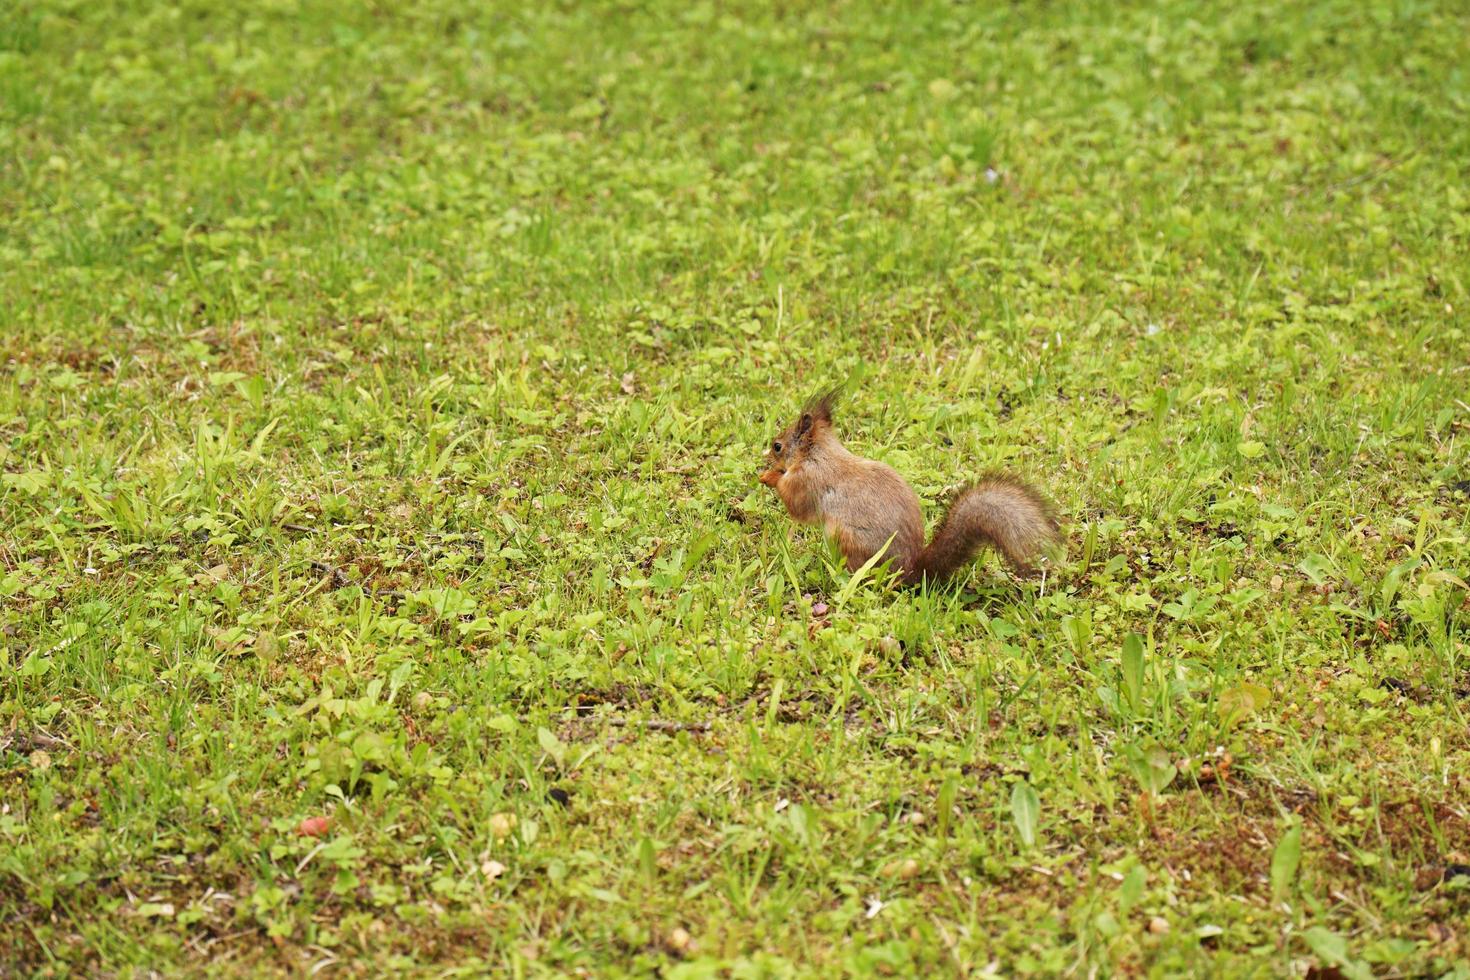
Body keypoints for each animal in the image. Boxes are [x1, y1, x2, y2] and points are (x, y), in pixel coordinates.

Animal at [758, 390, 1058, 587]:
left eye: (777, 446)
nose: (767, 457)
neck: (817, 454)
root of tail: (912, 571)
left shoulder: (807, 481)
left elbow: (796, 507)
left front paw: (769, 477)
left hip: (846, 538)